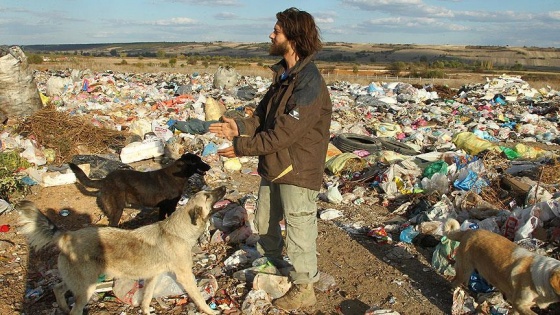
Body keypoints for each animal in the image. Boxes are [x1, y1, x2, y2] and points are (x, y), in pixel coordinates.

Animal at [18, 186, 226, 314]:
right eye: (208, 196)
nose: (224, 187)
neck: (178, 231)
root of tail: (66, 235)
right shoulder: (185, 276)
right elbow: (199, 298)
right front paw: (210, 311)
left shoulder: (152, 277)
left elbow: (146, 298)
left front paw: (146, 311)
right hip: (87, 287)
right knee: (74, 307)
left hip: (76, 281)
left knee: (57, 288)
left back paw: (62, 307)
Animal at [69, 154, 210, 226]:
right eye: (198, 161)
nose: (209, 166)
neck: (178, 174)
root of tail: (105, 180)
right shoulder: (170, 206)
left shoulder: (163, 207)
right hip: (117, 209)